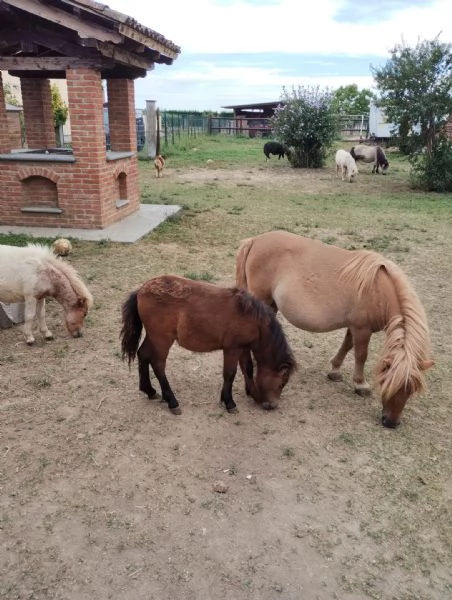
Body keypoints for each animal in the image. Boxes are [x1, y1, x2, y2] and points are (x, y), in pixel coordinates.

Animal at [120, 276, 296, 412]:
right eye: (282, 383)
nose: (271, 405)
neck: (252, 318)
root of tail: (141, 290)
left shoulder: (243, 348)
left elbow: (247, 369)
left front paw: (251, 392)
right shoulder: (232, 349)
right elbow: (230, 373)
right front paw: (229, 402)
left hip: (153, 337)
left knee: (143, 354)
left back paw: (149, 390)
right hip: (162, 340)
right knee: (158, 365)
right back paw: (172, 401)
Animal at [235, 229, 432, 426]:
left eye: (411, 390)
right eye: (389, 383)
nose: (390, 422)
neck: (378, 290)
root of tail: (254, 240)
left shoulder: (354, 326)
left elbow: (347, 346)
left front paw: (335, 371)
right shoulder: (362, 329)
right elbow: (361, 355)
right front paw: (361, 385)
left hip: (271, 305)